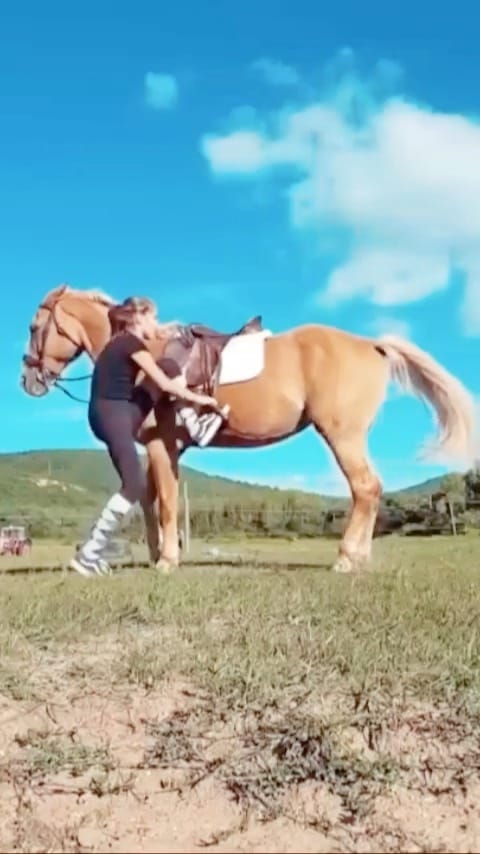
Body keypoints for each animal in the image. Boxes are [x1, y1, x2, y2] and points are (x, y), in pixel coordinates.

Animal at [20, 284, 477, 574]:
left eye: (33, 327)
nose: (28, 380)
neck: (144, 352)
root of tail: (371, 344)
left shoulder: (160, 444)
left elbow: (165, 501)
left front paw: (167, 561)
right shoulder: (164, 448)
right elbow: (151, 499)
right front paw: (157, 555)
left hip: (341, 434)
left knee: (365, 488)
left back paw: (347, 558)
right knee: (372, 489)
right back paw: (359, 557)